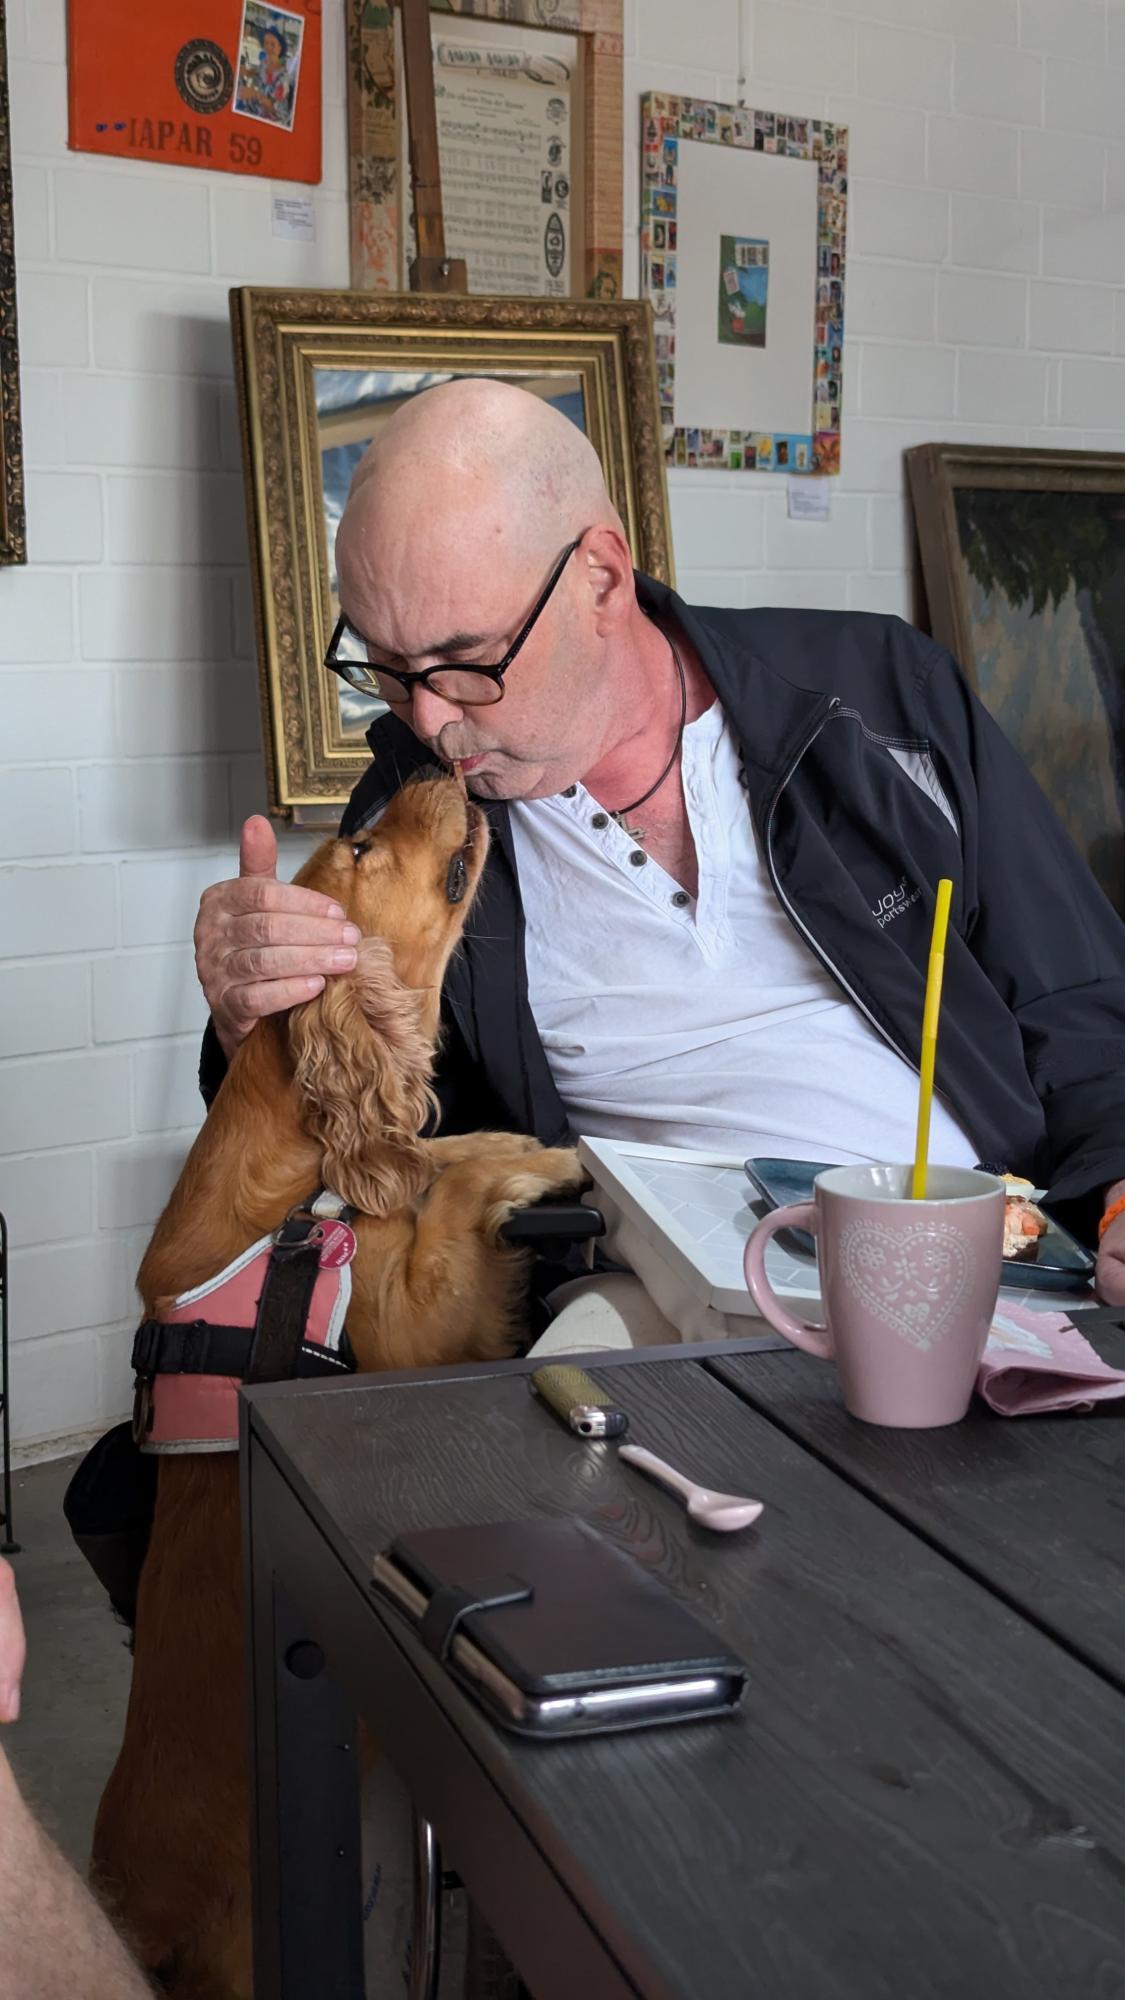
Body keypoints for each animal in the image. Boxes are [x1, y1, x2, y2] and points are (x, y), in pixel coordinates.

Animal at [91, 775, 583, 1997]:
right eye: (359, 846)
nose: (430, 766)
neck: (300, 1183)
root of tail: (141, 1922)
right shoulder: (405, 1326)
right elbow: (443, 1210)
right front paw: (541, 1162)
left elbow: (436, 1156)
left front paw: (507, 1142)